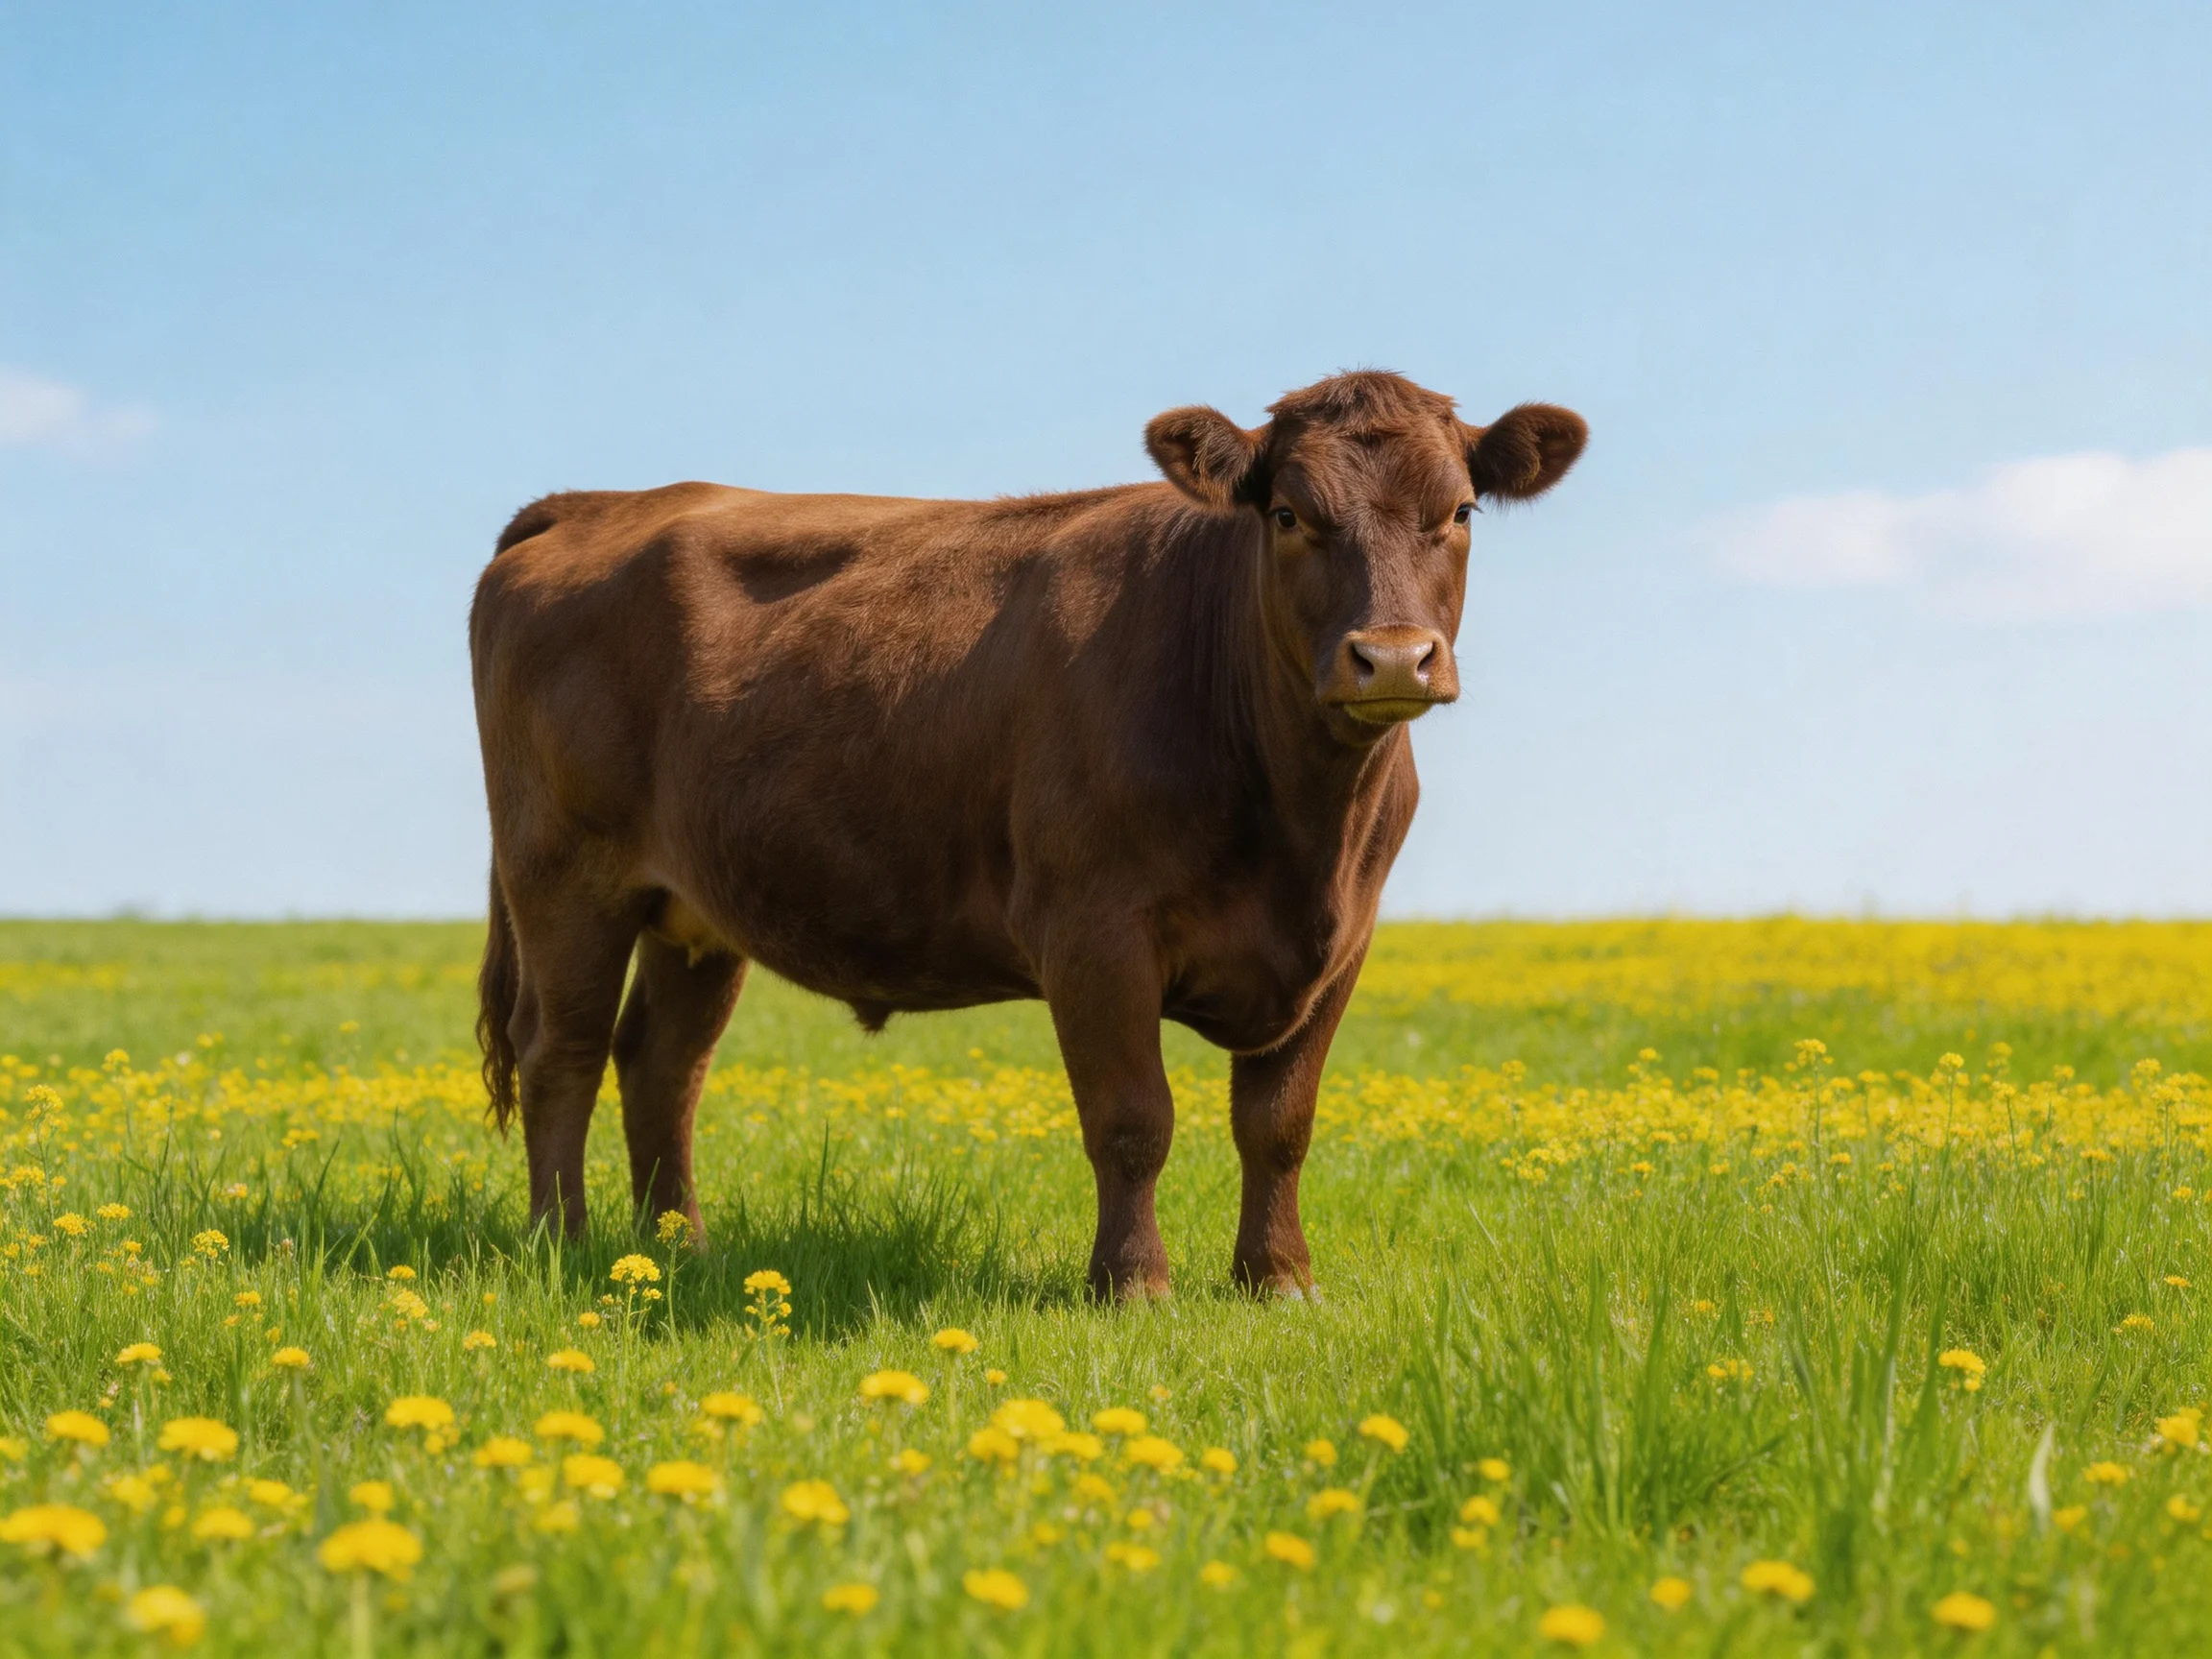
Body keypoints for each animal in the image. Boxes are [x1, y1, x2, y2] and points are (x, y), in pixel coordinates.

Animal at [470, 370, 1584, 1299]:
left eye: (1459, 512)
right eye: (1288, 514)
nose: (1392, 656)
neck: (1301, 823)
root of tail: (602, 502)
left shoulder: (1343, 940)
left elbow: (1279, 1125)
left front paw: (1278, 1281)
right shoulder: (1093, 931)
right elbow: (1133, 1121)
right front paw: (1133, 1286)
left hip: (695, 910)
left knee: (662, 1063)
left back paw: (676, 1251)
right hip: (564, 874)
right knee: (561, 1049)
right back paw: (561, 1245)